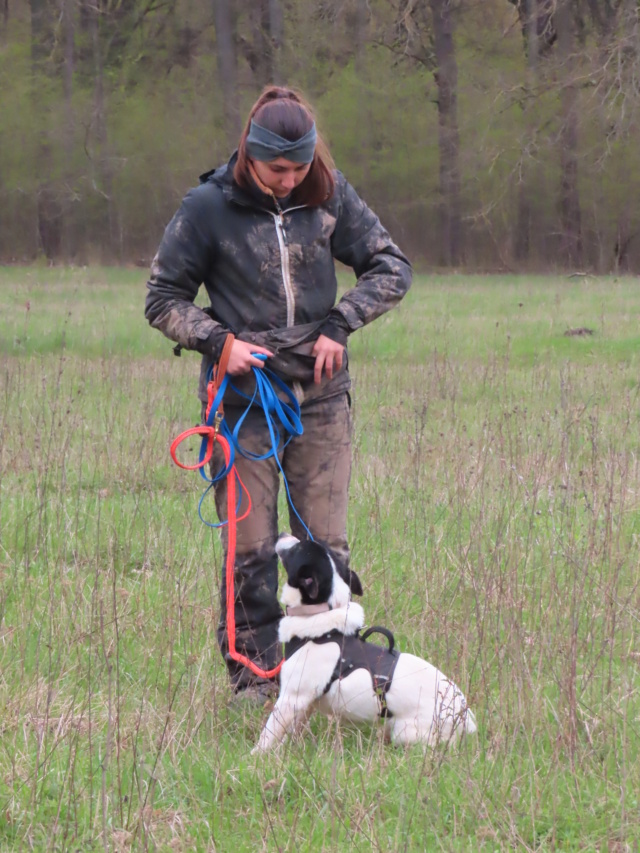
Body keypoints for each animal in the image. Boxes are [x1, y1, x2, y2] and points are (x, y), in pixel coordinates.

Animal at [252, 536, 478, 748]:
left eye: (297, 548)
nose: (282, 533)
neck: (323, 620)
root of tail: (467, 721)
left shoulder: (292, 697)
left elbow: (268, 734)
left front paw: (257, 756)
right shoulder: (306, 702)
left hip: (406, 732)